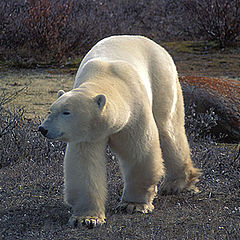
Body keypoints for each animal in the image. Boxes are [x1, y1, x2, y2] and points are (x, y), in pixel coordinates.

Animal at [39, 35, 201, 229]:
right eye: (50, 110)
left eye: (66, 112)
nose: (43, 129)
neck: (106, 76)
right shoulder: (88, 134)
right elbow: (85, 165)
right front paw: (86, 219)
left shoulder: (134, 113)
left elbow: (139, 153)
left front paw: (133, 205)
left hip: (162, 79)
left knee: (168, 129)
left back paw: (176, 184)